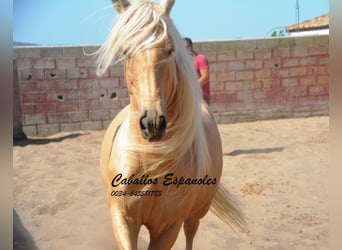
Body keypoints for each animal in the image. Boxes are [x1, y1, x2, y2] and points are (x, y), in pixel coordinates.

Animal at [96, 0, 246, 248]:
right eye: (125, 51)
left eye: (170, 50)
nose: (152, 123)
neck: (149, 160)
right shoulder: (122, 218)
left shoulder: (167, 228)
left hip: (196, 214)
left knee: (190, 233)